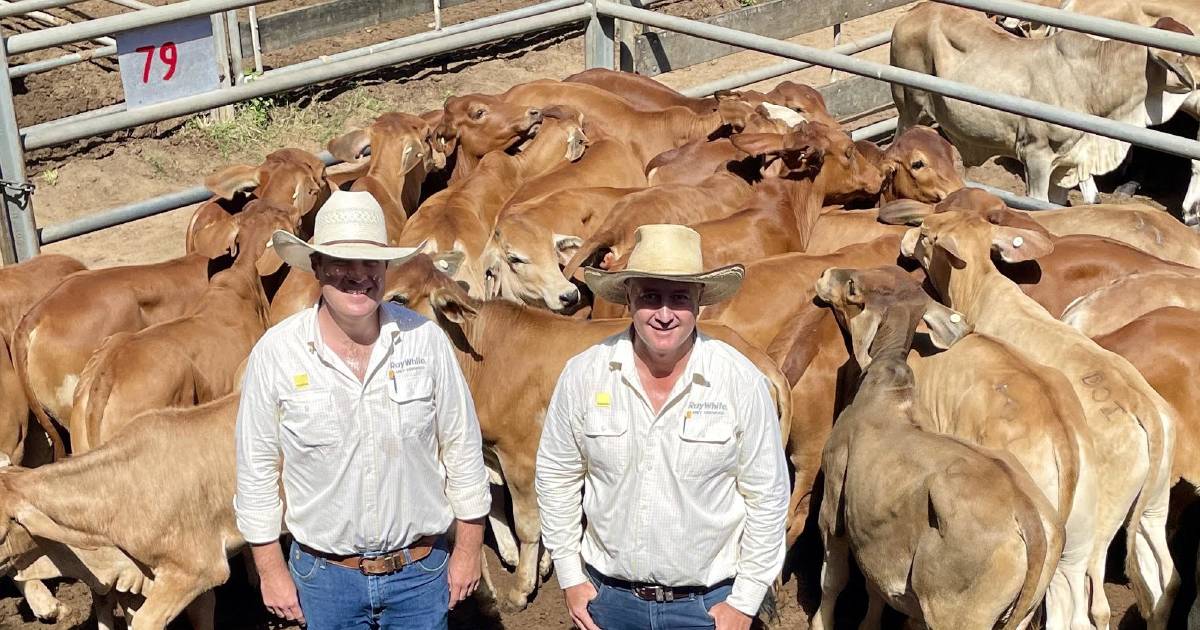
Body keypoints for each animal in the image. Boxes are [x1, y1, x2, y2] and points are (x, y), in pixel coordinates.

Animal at [811, 265, 1056, 628]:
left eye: (853, 287)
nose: (826, 273)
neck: (888, 384)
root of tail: (1027, 517)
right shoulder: (876, 537)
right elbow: (875, 588)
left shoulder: (833, 503)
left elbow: (833, 580)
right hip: (1023, 613)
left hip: (955, 613)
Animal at [902, 195, 1176, 624]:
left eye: (929, 235)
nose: (907, 240)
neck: (983, 290)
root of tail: (1144, 408)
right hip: (1152, 508)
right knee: (1164, 577)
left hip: (1098, 527)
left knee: (1093, 608)